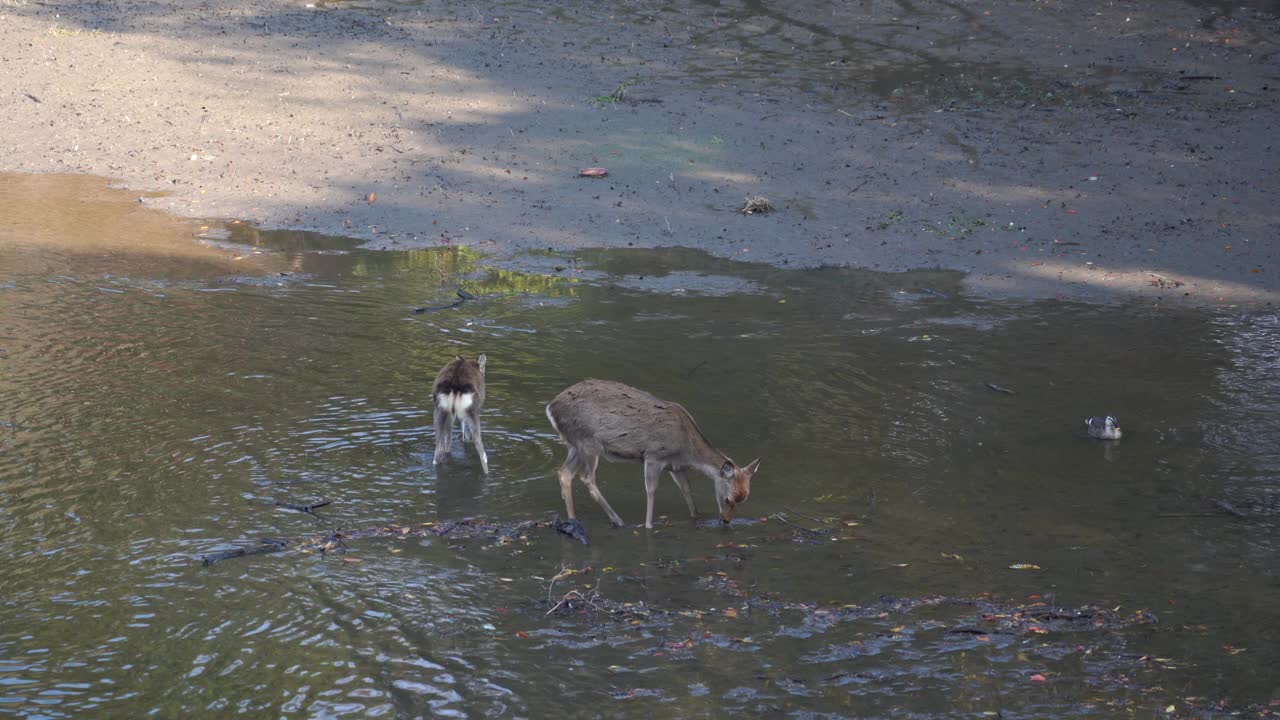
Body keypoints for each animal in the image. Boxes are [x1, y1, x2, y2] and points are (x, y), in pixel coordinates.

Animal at [542, 376, 757, 527]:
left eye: (744, 498)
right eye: (728, 499)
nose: (726, 520)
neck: (687, 449)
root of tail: (551, 407)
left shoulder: (676, 466)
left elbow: (686, 489)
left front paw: (696, 516)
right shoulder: (654, 456)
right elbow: (651, 490)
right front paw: (648, 525)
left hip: (575, 445)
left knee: (564, 473)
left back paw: (573, 520)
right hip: (589, 443)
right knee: (587, 478)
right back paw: (618, 520)